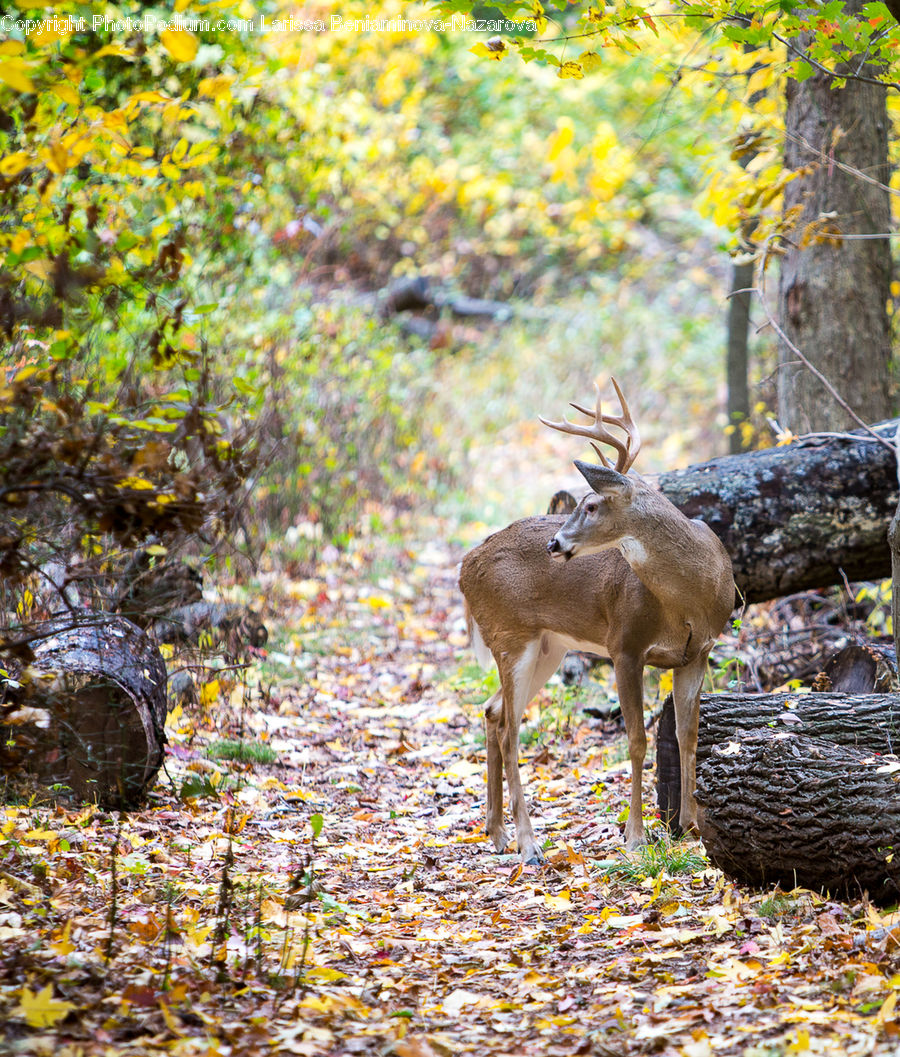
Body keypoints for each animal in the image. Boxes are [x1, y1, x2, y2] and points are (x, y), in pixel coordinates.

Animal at [458, 379, 735, 865]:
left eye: (591, 505)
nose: (554, 543)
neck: (690, 598)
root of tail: (463, 568)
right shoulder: (625, 645)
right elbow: (637, 740)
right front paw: (636, 837)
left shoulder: (697, 653)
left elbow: (688, 734)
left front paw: (690, 827)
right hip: (511, 635)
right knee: (511, 731)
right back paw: (528, 844)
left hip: (549, 646)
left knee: (492, 712)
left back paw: (496, 833)